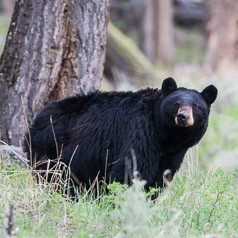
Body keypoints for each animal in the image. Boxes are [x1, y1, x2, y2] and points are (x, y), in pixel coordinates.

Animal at [23, 77, 218, 193]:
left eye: (196, 106)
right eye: (176, 104)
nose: (183, 117)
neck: (166, 137)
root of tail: (37, 117)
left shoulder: (172, 155)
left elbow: (161, 176)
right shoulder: (141, 133)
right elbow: (130, 169)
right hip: (50, 146)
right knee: (51, 175)